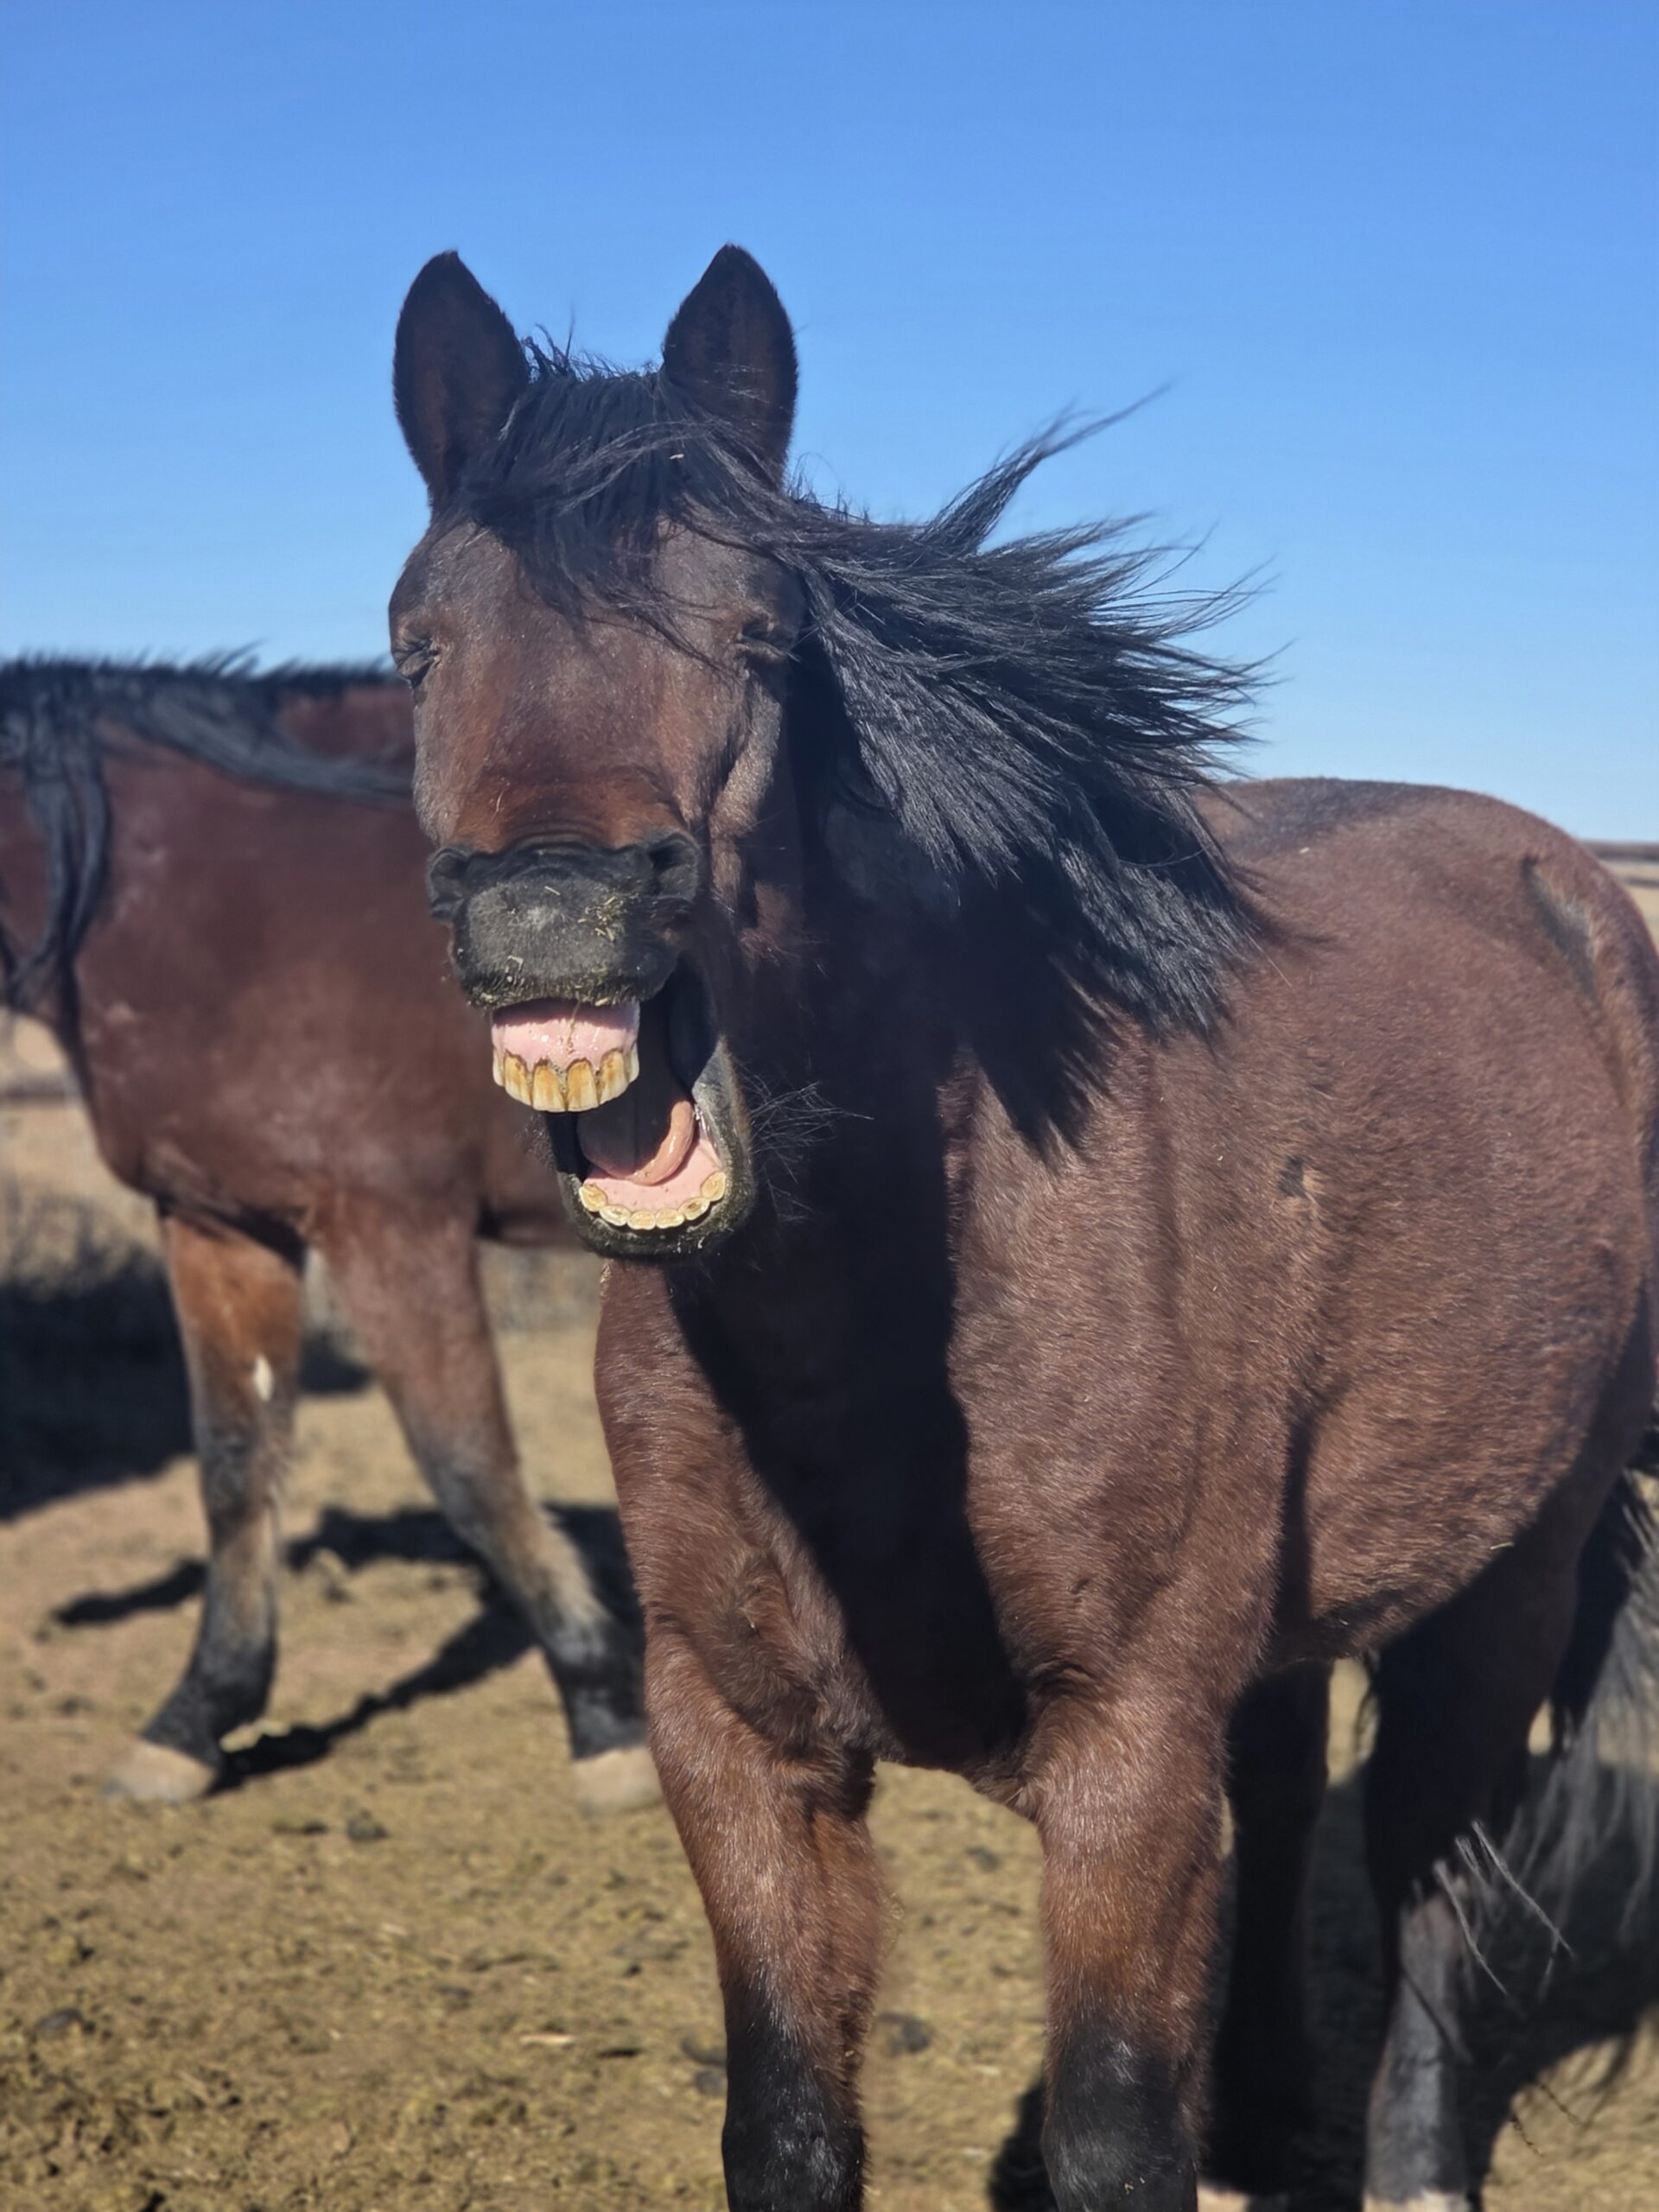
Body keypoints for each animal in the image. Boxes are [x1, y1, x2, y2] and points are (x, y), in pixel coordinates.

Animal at [0, 657, 655, 1815]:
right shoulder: (221, 1224)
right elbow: (234, 1464)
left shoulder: (391, 1226)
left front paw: (603, 1712)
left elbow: (469, 1464)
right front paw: (197, 1714)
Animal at [387, 245, 1659, 2211]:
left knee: (1437, 1872)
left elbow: (1116, 2134)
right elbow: (789, 2122)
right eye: (419, 642)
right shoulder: (734, 1745)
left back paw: (1409, 2153)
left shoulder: (1123, 1760)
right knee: (1289, 1791)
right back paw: (1270, 2113)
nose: (553, 917)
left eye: (759, 636)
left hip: (1513, 1567)